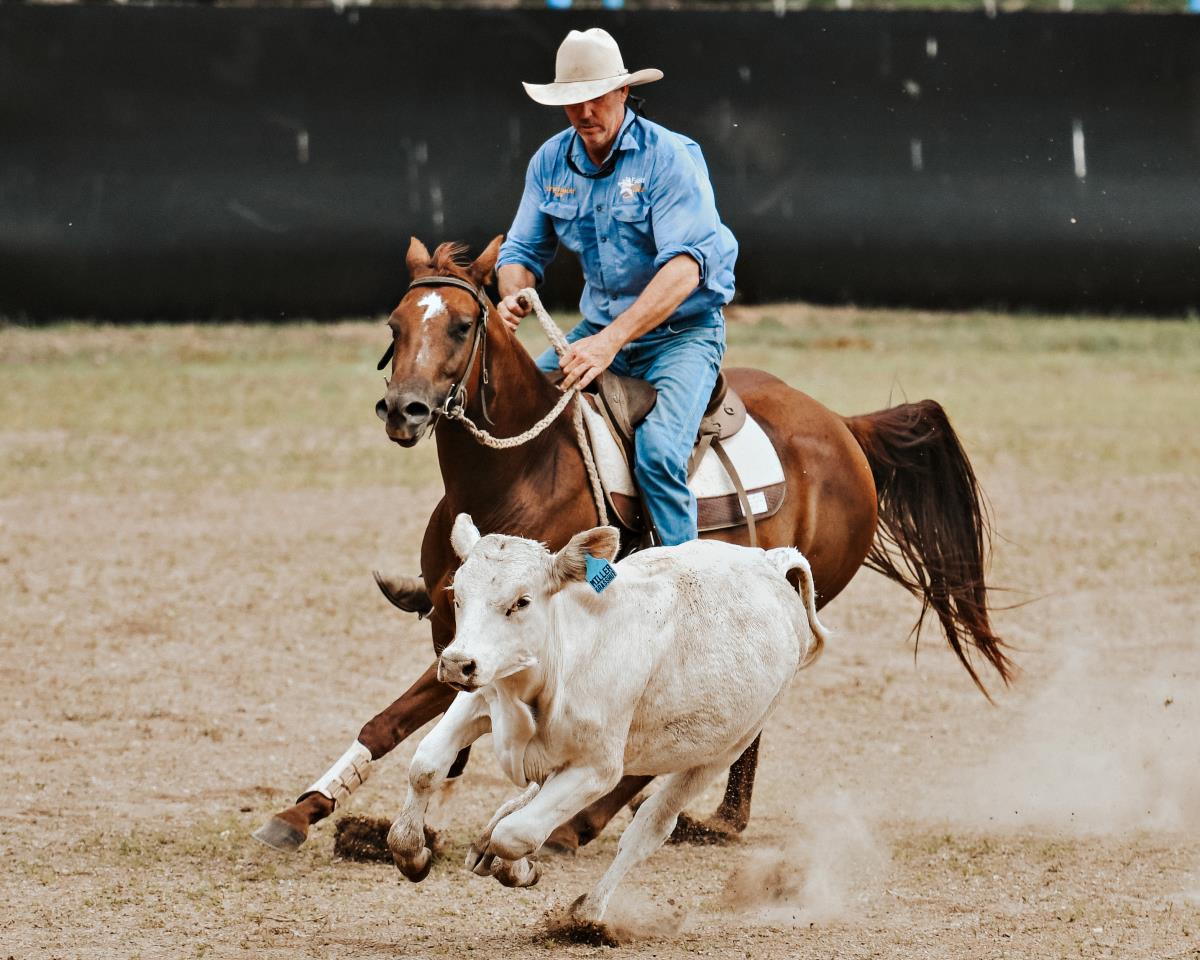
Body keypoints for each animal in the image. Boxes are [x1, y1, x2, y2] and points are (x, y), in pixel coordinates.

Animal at [252, 235, 1011, 855]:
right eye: (396, 324)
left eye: (463, 325)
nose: (404, 409)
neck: (519, 471)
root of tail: (844, 427)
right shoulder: (453, 629)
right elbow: (389, 724)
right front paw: (304, 812)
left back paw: (588, 825)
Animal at [386, 513, 830, 926]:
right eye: (457, 595)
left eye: (521, 601)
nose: (455, 663)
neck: (565, 657)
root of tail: (770, 562)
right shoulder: (482, 694)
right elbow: (426, 765)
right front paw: (411, 851)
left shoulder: (598, 769)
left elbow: (518, 834)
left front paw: (519, 868)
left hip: (721, 753)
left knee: (648, 828)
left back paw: (587, 911)